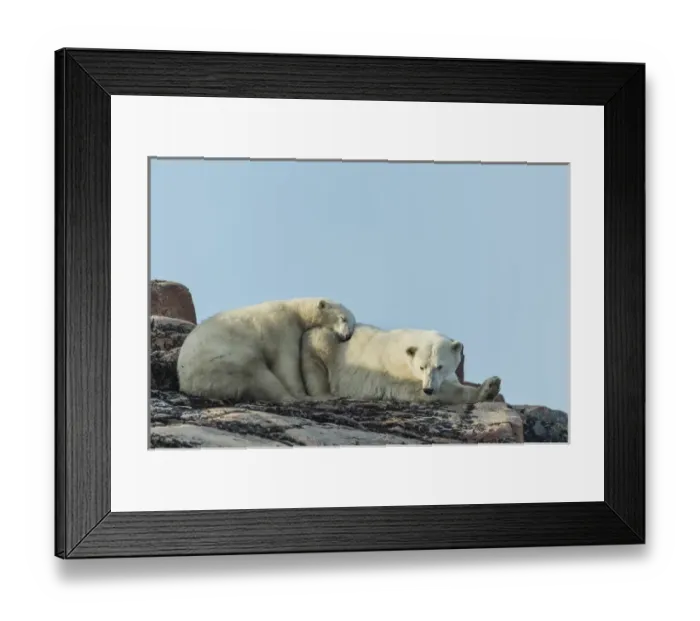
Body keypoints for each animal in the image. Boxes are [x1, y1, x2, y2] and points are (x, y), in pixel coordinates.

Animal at [176, 297, 356, 403]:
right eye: (343, 318)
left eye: (353, 323)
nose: (347, 335)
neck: (295, 311)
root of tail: (191, 385)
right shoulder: (284, 328)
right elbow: (286, 364)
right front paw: (302, 394)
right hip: (226, 360)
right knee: (260, 376)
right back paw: (293, 399)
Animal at [301, 323, 501, 404]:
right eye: (422, 366)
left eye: (440, 366)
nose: (429, 389)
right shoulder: (396, 374)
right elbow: (420, 391)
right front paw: (489, 387)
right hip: (326, 344)